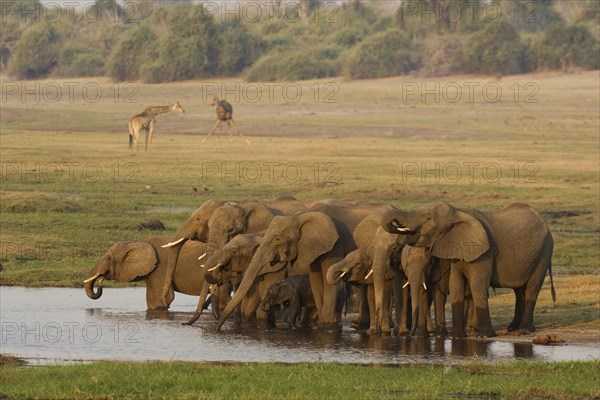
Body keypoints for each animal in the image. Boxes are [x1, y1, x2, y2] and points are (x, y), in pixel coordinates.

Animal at [82, 236, 213, 310]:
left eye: (109, 258)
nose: (99, 287)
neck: (139, 242)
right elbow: (152, 301)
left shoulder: (161, 268)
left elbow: (161, 300)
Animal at [213, 203, 392, 332]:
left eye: (277, 239)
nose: (217, 329)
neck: (300, 217)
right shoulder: (312, 247)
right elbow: (316, 280)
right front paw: (322, 326)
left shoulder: (334, 245)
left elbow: (328, 280)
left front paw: (329, 328)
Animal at [382, 202, 556, 336]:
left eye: (429, 218)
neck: (458, 213)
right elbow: (455, 284)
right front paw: (457, 336)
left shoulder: (484, 253)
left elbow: (478, 285)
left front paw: (484, 335)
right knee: (519, 291)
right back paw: (513, 328)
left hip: (544, 252)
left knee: (532, 288)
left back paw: (525, 330)